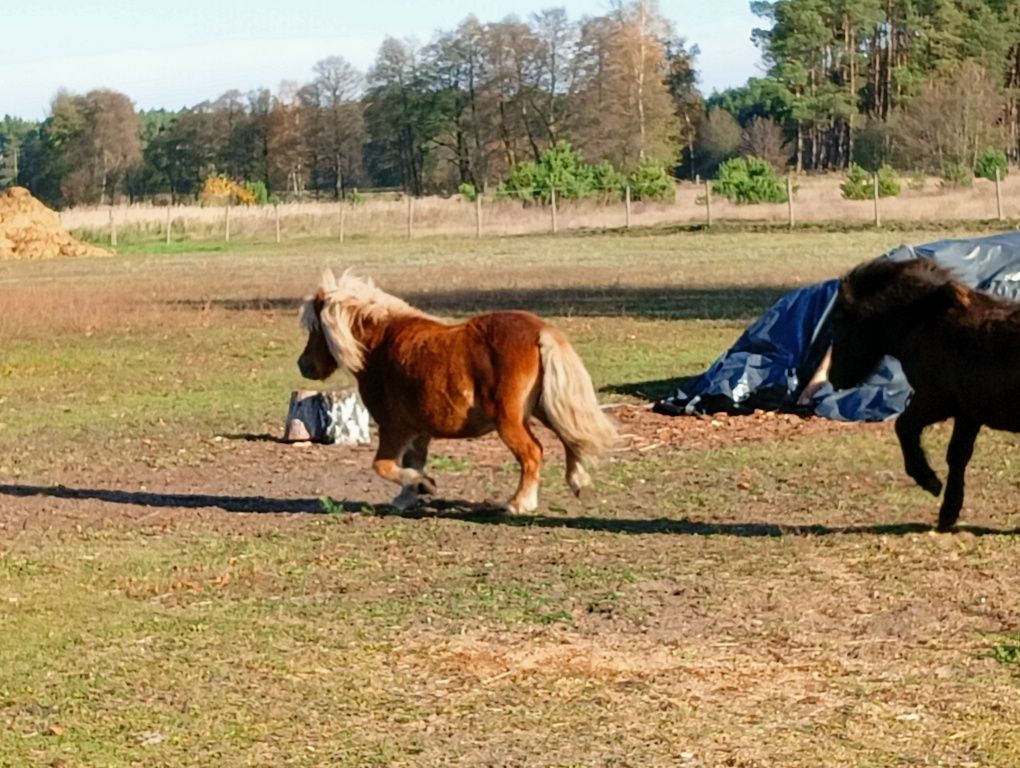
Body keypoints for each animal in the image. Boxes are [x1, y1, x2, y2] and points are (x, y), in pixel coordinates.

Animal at [295, 269, 612, 516]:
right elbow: (413, 463)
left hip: (510, 420)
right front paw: (409, 494)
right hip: (543, 407)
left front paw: (423, 484)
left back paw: (519, 503)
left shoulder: (393, 429)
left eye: (316, 328)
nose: (304, 365)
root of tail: (540, 331)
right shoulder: (418, 431)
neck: (380, 345)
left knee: (534, 452)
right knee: (570, 439)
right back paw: (579, 483)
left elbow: (383, 466)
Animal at [828, 256, 1020, 526]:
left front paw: (929, 480)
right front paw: (948, 513)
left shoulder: (934, 401)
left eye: (837, 322)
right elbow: (958, 455)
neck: (924, 322)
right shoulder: (967, 414)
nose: (833, 378)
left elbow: (904, 427)